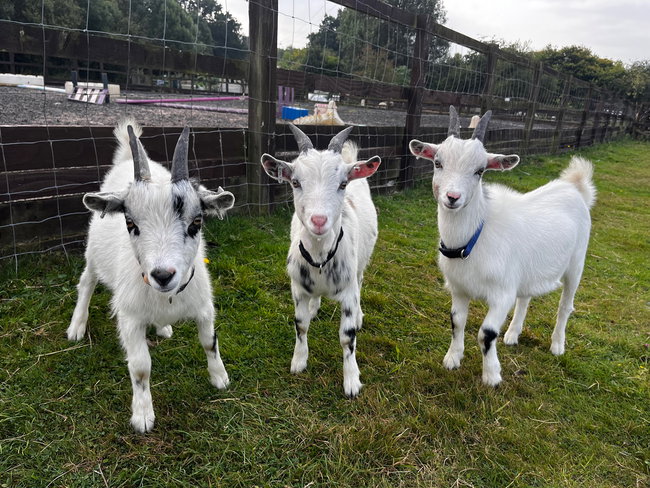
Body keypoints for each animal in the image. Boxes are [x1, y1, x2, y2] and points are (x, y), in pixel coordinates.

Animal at [67, 120, 235, 432]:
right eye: (130, 223)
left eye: (197, 221)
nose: (162, 275)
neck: (167, 297)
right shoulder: (130, 318)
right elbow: (140, 367)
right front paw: (143, 415)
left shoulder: (204, 307)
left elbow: (209, 342)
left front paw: (220, 378)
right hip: (94, 254)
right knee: (86, 283)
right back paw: (76, 327)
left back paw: (163, 327)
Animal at [260, 125, 381, 397]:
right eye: (295, 182)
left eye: (343, 183)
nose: (318, 221)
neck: (320, 258)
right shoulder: (297, 288)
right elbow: (301, 324)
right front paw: (298, 361)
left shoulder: (348, 291)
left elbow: (347, 336)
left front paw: (351, 380)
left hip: (362, 262)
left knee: (361, 279)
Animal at [409, 106, 596, 386]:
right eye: (437, 162)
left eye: (480, 171)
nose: (452, 197)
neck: (475, 237)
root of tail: (574, 186)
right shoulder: (459, 288)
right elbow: (456, 322)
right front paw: (452, 359)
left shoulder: (502, 294)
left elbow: (485, 333)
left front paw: (492, 376)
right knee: (525, 298)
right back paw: (512, 334)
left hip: (576, 263)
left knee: (566, 305)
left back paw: (557, 345)